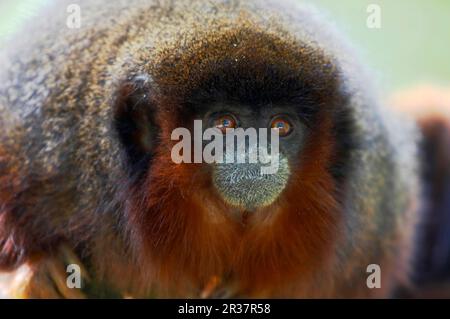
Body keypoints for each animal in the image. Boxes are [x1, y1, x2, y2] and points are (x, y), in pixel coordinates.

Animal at [0, 0, 446, 298]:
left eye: (281, 127)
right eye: (225, 124)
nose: (259, 158)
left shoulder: (371, 211)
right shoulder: (52, 147)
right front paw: (41, 274)